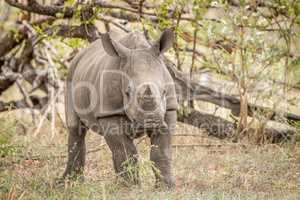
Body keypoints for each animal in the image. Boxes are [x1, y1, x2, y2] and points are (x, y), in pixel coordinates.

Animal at [61, 28, 177, 188]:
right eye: (127, 93)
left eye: (164, 91)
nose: (152, 122)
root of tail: (82, 53)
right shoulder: (108, 112)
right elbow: (126, 151)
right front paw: (131, 187)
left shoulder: (169, 109)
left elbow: (161, 151)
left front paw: (166, 187)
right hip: (70, 75)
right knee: (76, 129)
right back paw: (69, 183)